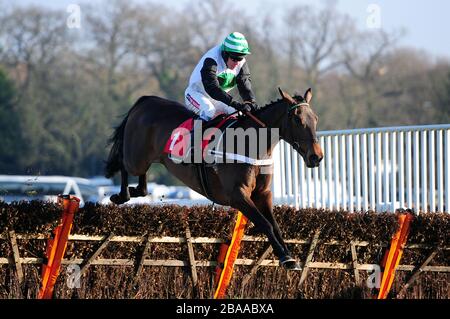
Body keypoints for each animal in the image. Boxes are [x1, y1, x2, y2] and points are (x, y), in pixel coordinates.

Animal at [104, 87, 324, 270]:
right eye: (297, 120)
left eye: (315, 118)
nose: (317, 157)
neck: (250, 144)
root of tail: (146, 100)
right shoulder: (238, 195)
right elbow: (265, 224)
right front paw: (285, 257)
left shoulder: (263, 194)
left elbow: (276, 225)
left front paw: (289, 257)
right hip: (136, 157)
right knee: (123, 162)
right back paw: (121, 195)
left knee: (140, 181)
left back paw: (135, 191)